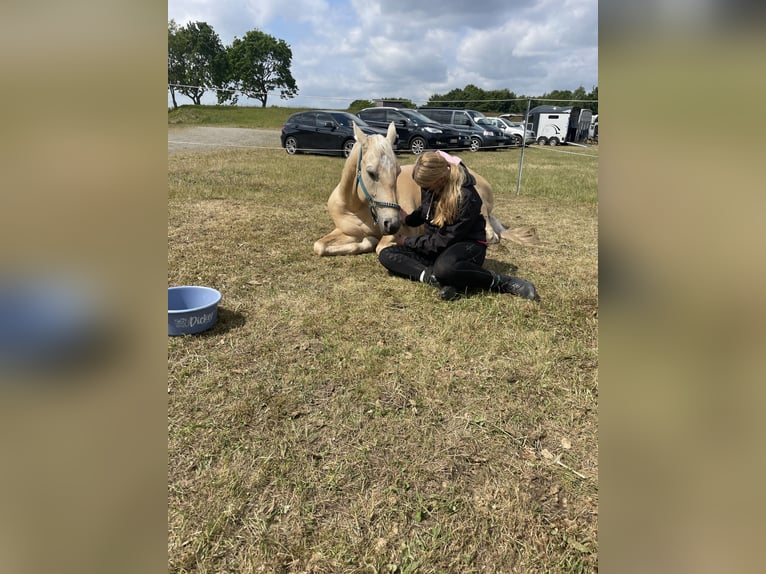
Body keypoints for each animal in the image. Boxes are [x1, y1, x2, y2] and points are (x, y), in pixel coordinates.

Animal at [313, 122, 538, 257]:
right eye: (370, 172)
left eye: (397, 172)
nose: (392, 224)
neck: (355, 206)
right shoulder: (344, 231)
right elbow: (319, 246)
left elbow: (379, 246)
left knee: (491, 235)